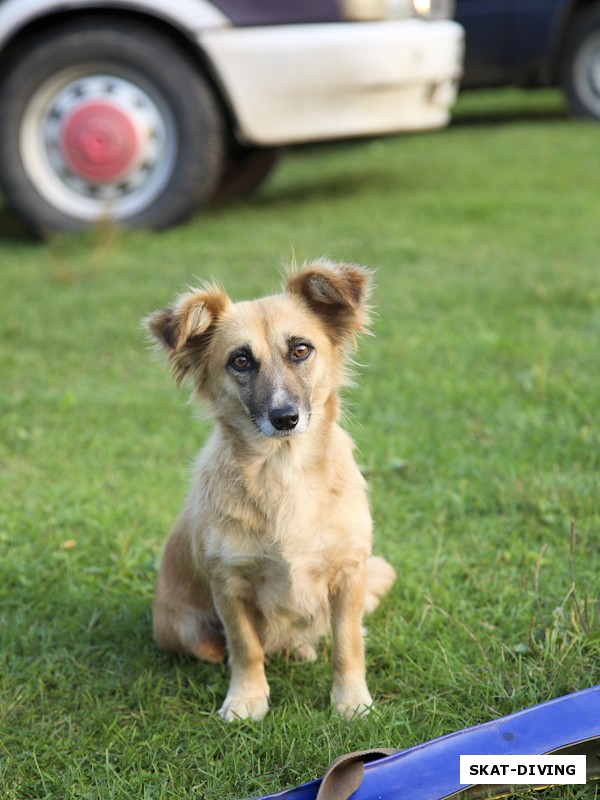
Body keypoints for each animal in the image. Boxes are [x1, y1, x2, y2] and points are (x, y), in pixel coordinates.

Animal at [146, 260, 396, 720]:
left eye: (300, 350)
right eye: (240, 360)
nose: (285, 418)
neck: (283, 470)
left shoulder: (349, 573)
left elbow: (348, 645)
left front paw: (351, 702)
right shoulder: (229, 584)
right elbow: (246, 648)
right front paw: (247, 699)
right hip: (180, 626)